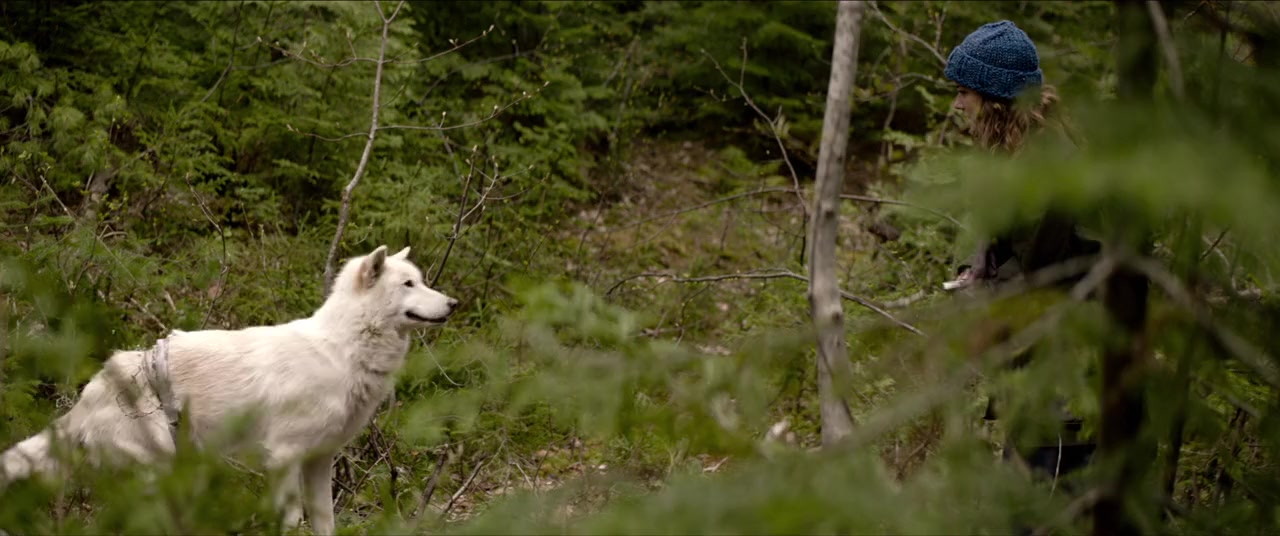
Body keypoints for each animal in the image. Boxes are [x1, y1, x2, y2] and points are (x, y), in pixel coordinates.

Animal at [0, 245, 457, 535]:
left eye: (422, 281)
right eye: (408, 285)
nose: (454, 303)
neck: (340, 351)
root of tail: (91, 389)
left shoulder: (318, 460)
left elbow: (324, 523)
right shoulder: (283, 459)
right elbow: (289, 523)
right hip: (158, 471)